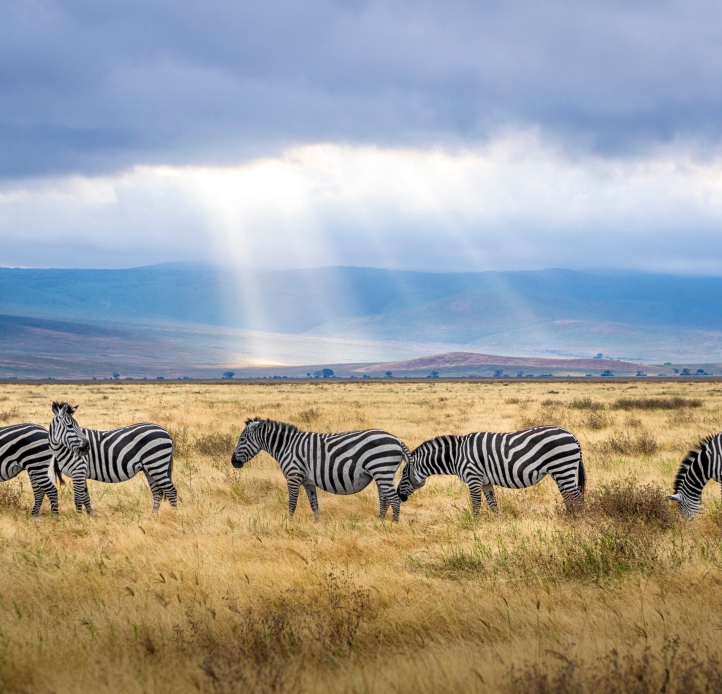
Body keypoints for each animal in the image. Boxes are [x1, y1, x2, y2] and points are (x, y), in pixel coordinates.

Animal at [48, 402, 177, 514]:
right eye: (70, 426)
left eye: (77, 426)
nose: (86, 447)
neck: (64, 449)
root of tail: (165, 431)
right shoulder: (81, 473)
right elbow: (86, 498)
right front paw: (90, 517)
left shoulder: (78, 471)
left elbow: (78, 498)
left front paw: (78, 518)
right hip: (149, 468)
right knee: (157, 492)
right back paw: (154, 515)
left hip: (156, 464)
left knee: (171, 491)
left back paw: (174, 514)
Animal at [231, 418, 411, 521]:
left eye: (242, 439)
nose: (233, 462)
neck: (286, 446)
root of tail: (396, 440)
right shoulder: (308, 481)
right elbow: (314, 503)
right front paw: (316, 523)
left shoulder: (294, 476)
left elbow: (292, 502)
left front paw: (289, 523)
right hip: (381, 473)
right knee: (384, 498)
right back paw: (379, 521)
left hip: (381, 469)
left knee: (394, 499)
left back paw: (393, 525)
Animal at [396, 426, 585, 514]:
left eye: (404, 474)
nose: (399, 495)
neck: (456, 456)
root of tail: (572, 435)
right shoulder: (485, 482)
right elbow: (493, 505)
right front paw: (497, 524)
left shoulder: (473, 478)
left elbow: (476, 504)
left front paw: (474, 525)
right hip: (561, 471)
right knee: (569, 497)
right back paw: (569, 518)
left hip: (562, 468)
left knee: (576, 497)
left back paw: (577, 521)